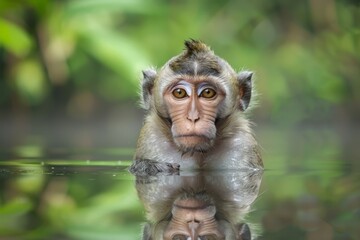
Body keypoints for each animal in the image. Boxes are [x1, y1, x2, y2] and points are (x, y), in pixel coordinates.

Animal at [129, 39, 262, 174]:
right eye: (179, 92)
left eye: (208, 92)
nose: (193, 117)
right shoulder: (151, 138)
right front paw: (150, 166)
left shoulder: (242, 145)